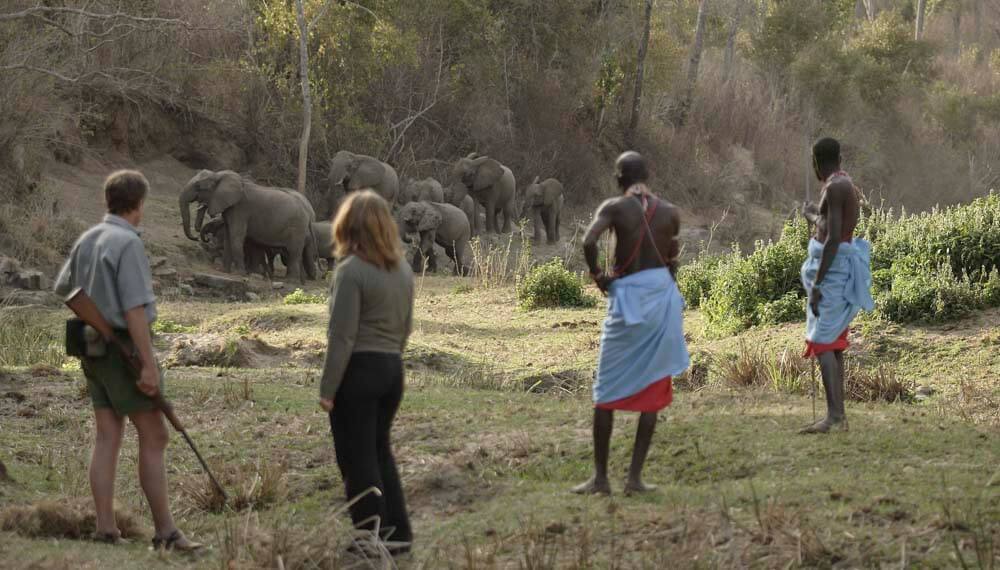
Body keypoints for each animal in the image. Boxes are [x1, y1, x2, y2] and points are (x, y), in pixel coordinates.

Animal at [181, 170, 312, 282]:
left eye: (198, 186)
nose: (197, 237)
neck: (219, 175)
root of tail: (308, 210)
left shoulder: (241, 209)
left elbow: (236, 236)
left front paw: (239, 274)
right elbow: (228, 236)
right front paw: (224, 271)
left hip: (297, 228)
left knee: (293, 252)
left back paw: (291, 281)